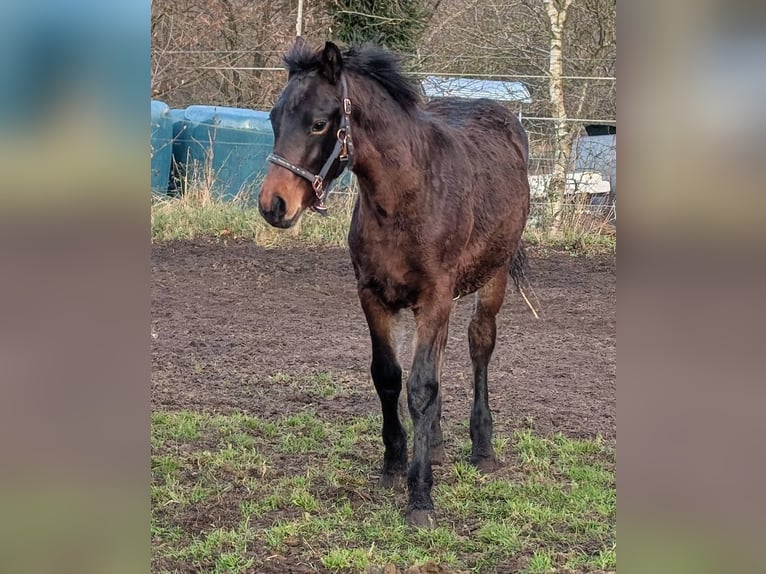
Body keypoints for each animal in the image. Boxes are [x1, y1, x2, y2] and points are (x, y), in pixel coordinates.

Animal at [258, 38, 530, 527]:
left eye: (318, 123)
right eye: (273, 119)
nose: (274, 205)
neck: (405, 197)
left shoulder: (435, 296)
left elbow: (421, 387)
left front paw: (420, 496)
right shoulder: (373, 295)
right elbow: (388, 377)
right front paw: (393, 465)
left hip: (492, 277)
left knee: (479, 345)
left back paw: (482, 448)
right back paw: (436, 444)